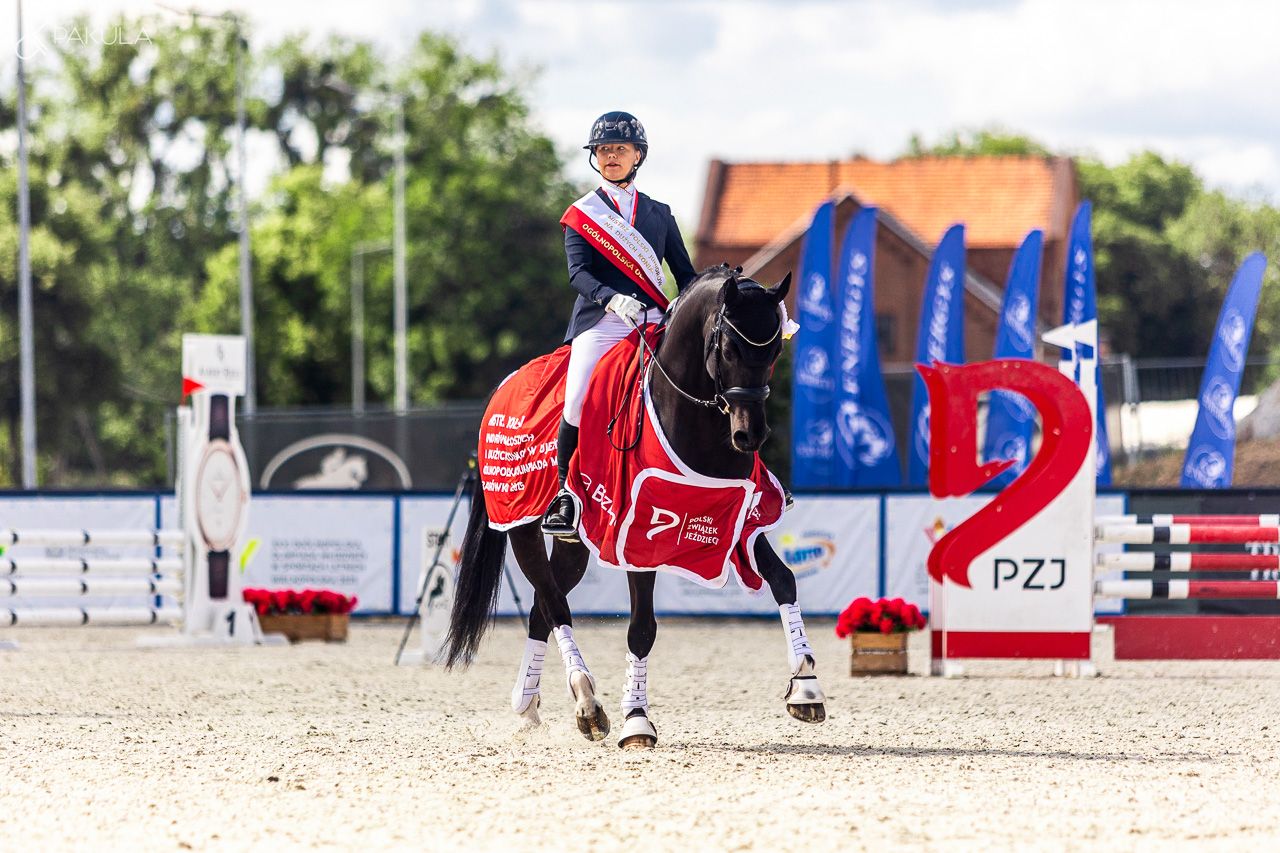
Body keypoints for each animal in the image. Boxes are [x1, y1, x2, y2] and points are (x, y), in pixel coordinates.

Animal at [444, 266, 826, 749]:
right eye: (728, 348)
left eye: (776, 349)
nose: (750, 436)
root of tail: (504, 385)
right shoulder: (639, 532)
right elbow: (642, 627)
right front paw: (637, 720)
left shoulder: (739, 519)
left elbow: (784, 580)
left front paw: (806, 685)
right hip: (521, 529)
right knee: (553, 605)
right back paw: (587, 703)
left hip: (575, 543)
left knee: (539, 608)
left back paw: (528, 704)